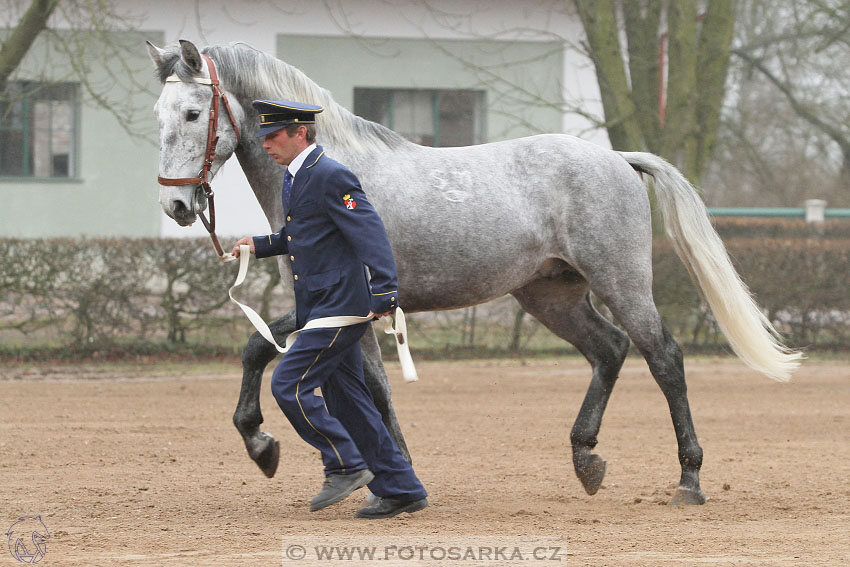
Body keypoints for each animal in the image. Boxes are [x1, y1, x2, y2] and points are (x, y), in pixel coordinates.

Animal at [149, 42, 800, 508]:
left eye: (193, 112)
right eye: (158, 114)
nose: (176, 206)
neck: (327, 170)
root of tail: (618, 158)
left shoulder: (344, 303)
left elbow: (275, 354)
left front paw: (274, 447)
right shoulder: (336, 309)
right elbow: (330, 375)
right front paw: (375, 472)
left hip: (621, 281)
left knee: (663, 356)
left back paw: (688, 480)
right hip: (550, 295)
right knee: (610, 350)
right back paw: (586, 459)